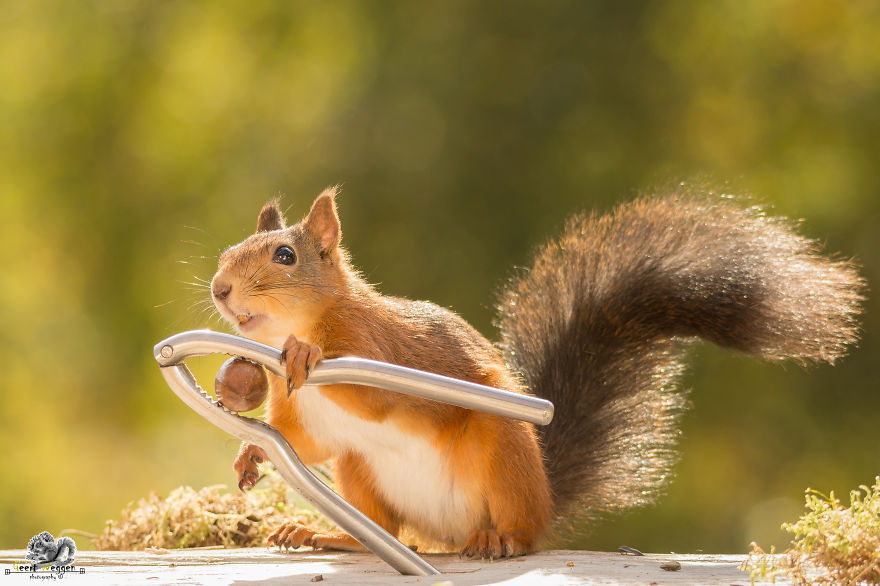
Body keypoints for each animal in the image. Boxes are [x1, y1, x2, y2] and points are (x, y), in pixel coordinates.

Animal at [209, 185, 863, 559]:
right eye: (226, 253)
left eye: (285, 256)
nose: (219, 289)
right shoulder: (303, 418)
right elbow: (302, 440)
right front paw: (250, 454)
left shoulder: (381, 349)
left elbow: (372, 394)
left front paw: (305, 353)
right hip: (361, 471)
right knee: (385, 531)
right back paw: (327, 534)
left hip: (502, 448)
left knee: (518, 531)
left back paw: (498, 539)